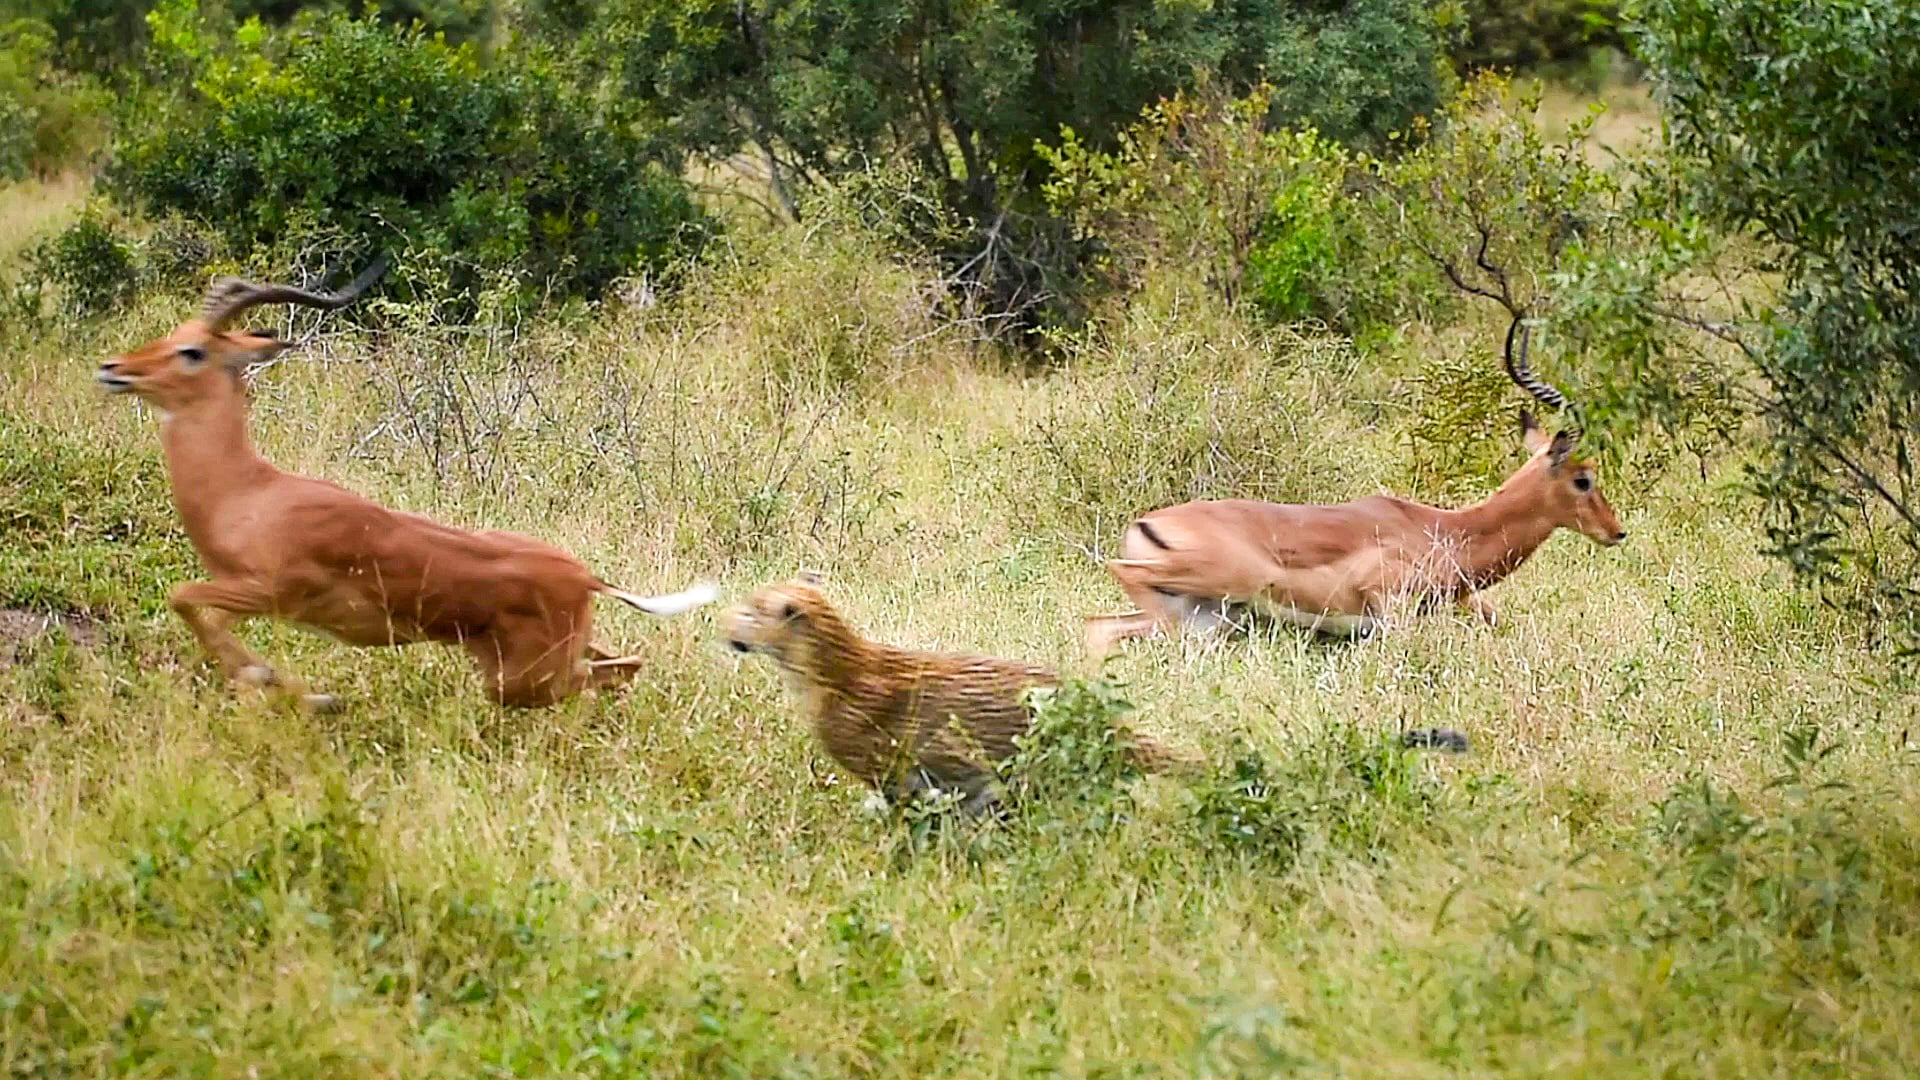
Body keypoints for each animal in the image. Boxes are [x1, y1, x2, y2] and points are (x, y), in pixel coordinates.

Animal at [95, 260, 716, 711]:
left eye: (192, 351)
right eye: (173, 334)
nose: (113, 369)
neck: (246, 493)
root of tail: (587, 577)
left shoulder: (270, 590)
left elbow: (184, 598)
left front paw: (300, 690)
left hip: (524, 681)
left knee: (610, 674)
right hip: (548, 661)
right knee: (627, 665)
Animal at [1084, 317, 1625, 658]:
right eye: (1583, 478)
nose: (1616, 531)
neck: (1448, 531)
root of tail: (1146, 523)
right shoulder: (1389, 606)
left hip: (1203, 611)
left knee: (1102, 629)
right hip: (1221, 584)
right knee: (1118, 587)